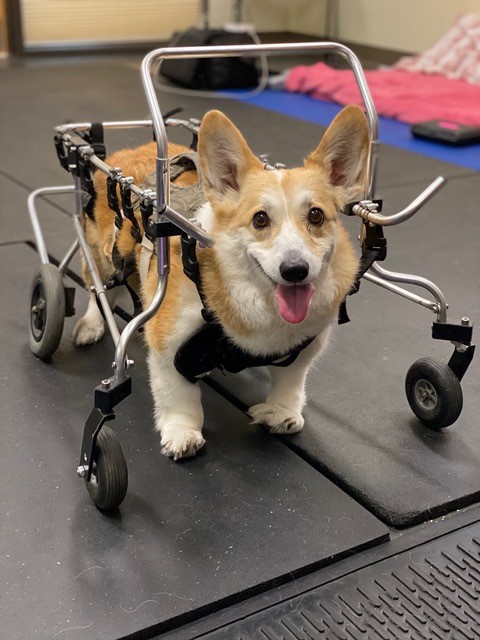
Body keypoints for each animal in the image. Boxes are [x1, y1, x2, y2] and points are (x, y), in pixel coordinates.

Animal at [74, 109, 368, 460]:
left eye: (316, 215)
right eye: (259, 219)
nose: (295, 270)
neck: (261, 303)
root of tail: (129, 151)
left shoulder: (302, 349)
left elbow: (290, 382)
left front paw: (281, 413)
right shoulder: (167, 343)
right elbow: (178, 396)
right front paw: (182, 433)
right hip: (105, 257)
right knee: (100, 291)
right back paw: (90, 325)